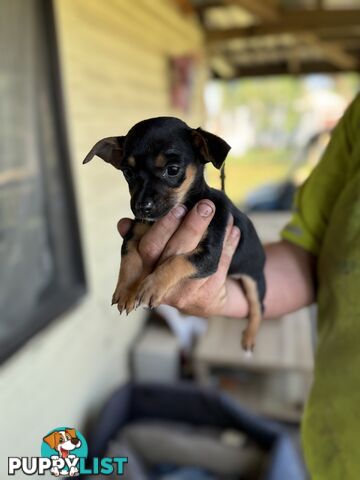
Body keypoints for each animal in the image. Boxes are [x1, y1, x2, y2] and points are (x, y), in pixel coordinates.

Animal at [83, 116, 264, 348]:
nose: (142, 207)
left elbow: (176, 261)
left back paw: (249, 337)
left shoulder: (209, 255)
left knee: (258, 308)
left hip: (255, 281)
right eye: (128, 173)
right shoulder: (134, 233)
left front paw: (152, 286)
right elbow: (129, 258)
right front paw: (126, 290)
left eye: (173, 170)